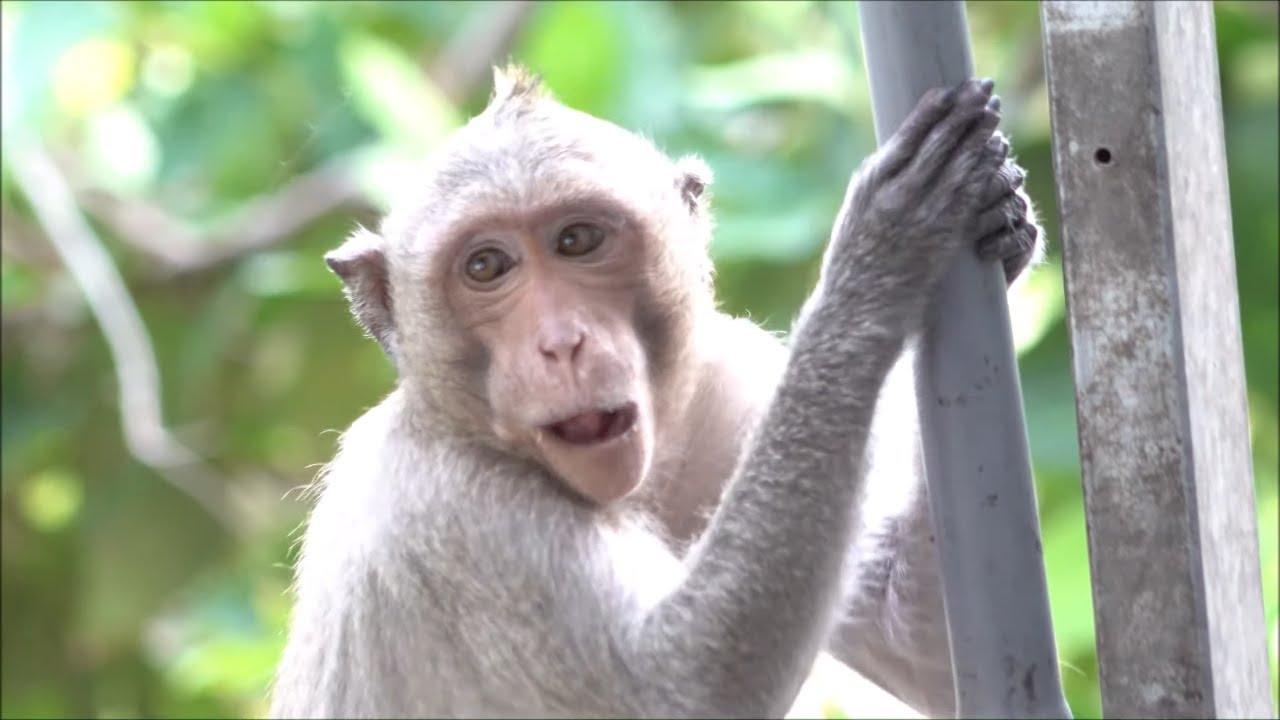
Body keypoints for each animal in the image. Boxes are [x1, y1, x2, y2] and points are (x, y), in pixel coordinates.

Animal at [270, 66, 1041, 719]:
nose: (562, 341)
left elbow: (933, 654)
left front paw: (1004, 217)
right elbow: (680, 686)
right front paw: (876, 255)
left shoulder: (728, 391)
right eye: (486, 266)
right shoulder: (443, 512)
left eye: (578, 241)